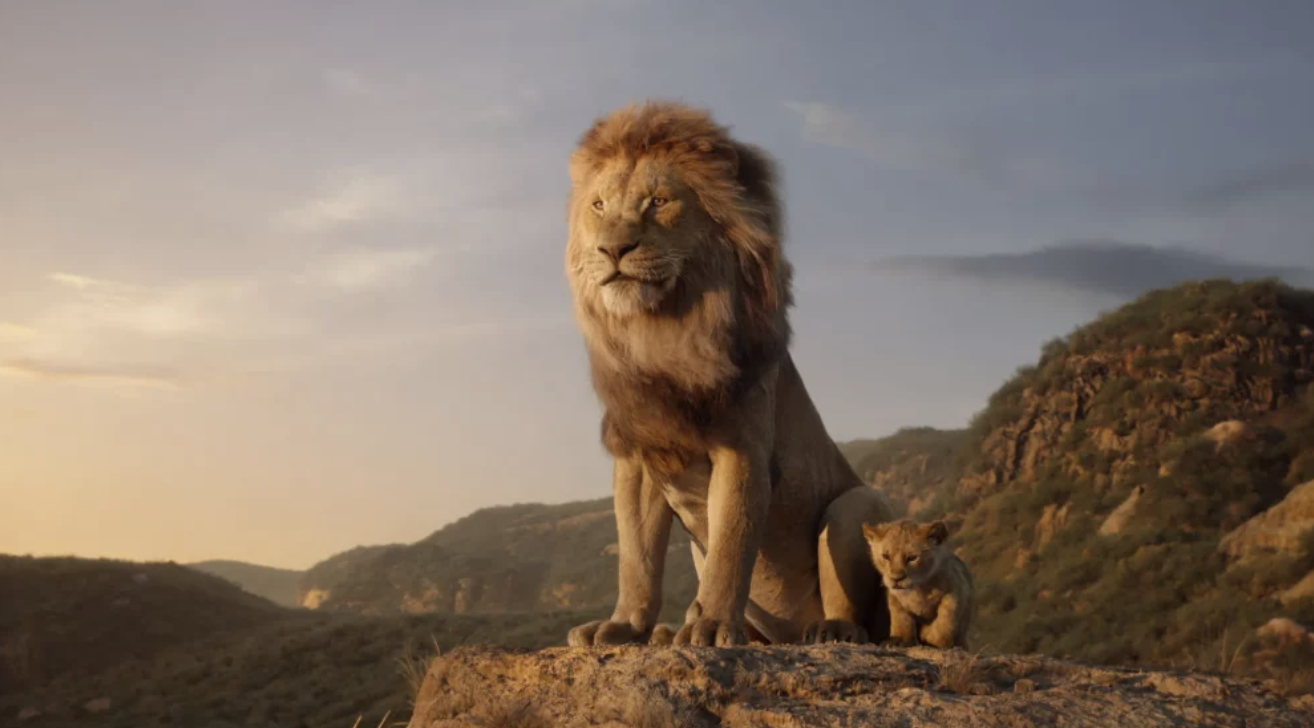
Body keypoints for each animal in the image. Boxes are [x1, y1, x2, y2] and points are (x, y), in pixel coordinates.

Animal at [562, 100, 896, 647]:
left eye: (658, 201)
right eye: (599, 206)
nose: (613, 250)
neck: (661, 332)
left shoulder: (742, 447)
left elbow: (731, 547)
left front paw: (713, 626)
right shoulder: (639, 454)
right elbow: (637, 557)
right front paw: (625, 625)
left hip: (856, 505)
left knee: (859, 614)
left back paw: (829, 630)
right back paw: (669, 632)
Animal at [862, 519, 974, 650]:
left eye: (912, 558)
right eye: (886, 556)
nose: (896, 578)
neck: (917, 589)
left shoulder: (954, 591)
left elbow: (946, 619)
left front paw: (933, 639)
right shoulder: (895, 599)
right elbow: (901, 620)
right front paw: (899, 640)